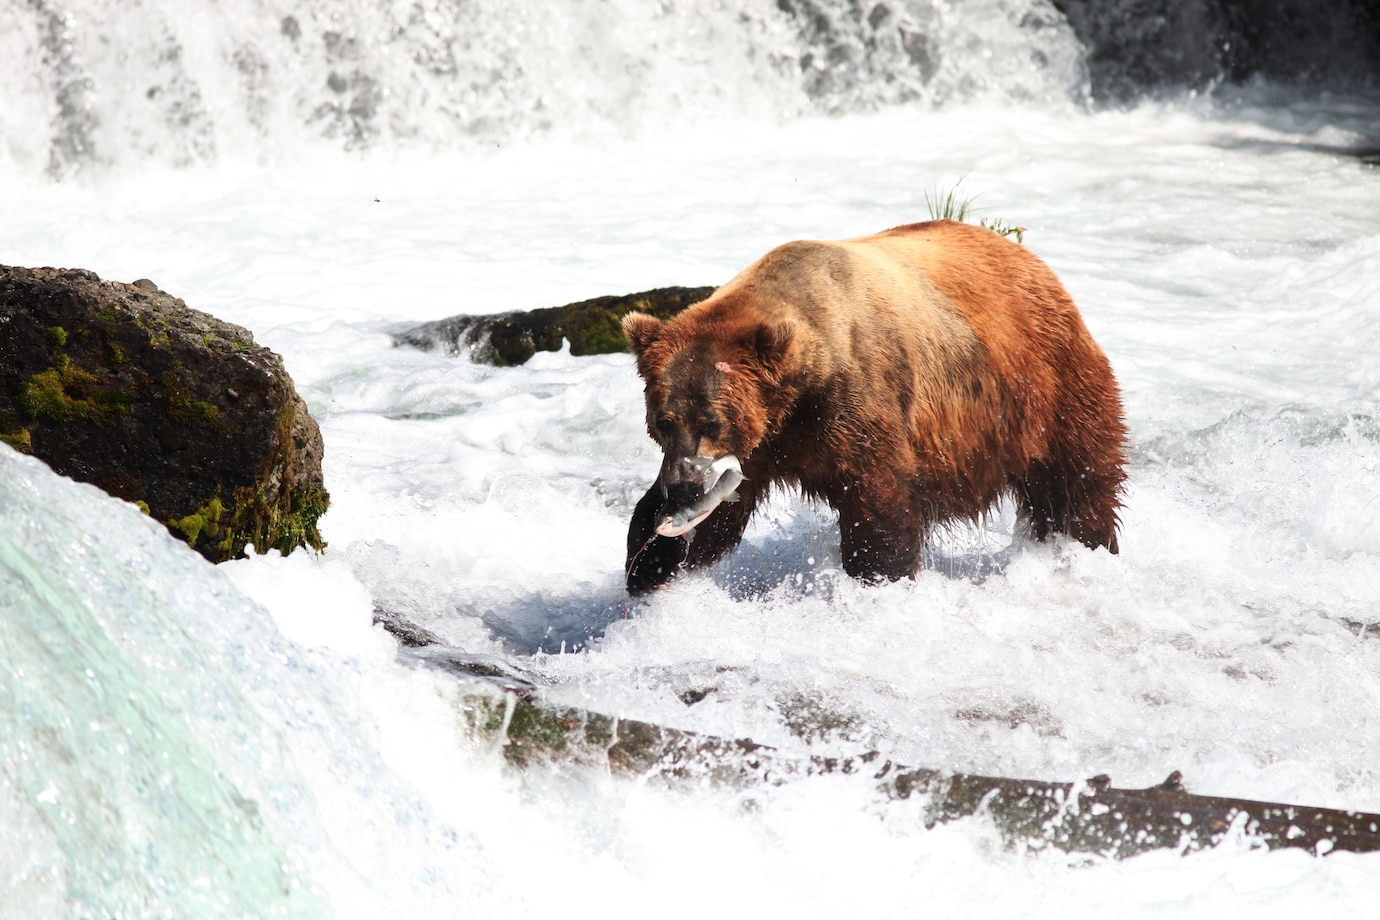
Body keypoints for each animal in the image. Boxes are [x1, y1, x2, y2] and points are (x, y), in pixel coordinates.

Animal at [621, 219, 1128, 594]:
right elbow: (719, 516)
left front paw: (879, 577)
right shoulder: (765, 439)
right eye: (663, 421)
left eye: (711, 420)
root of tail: (1030, 260)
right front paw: (651, 562)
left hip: (1042, 389)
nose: (683, 486)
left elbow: (876, 497)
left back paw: (1087, 547)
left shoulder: (855, 399)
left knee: (1076, 479)